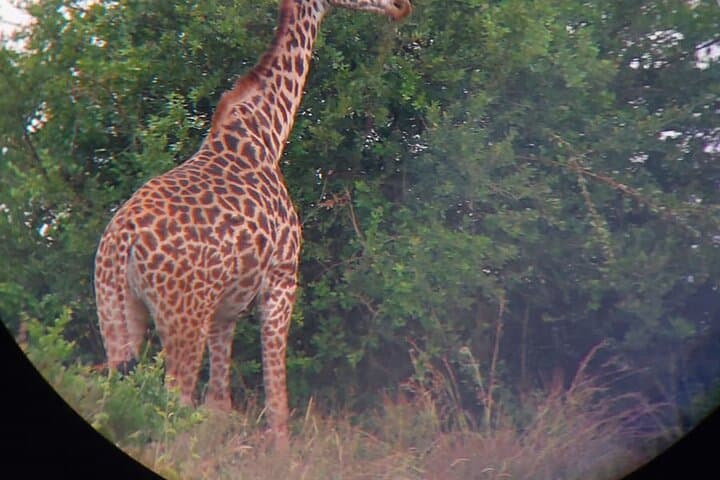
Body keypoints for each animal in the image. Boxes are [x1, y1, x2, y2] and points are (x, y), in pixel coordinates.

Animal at [94, 0, 412, 447]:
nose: (403, 7)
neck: (267, 132)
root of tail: (122, 242)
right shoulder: (282, 278)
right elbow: (277, 402)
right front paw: (281, 452)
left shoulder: (225, 309)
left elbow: (218, 404)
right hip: (182, 316)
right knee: (172, 400)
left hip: (117, 311)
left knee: (119, 395)